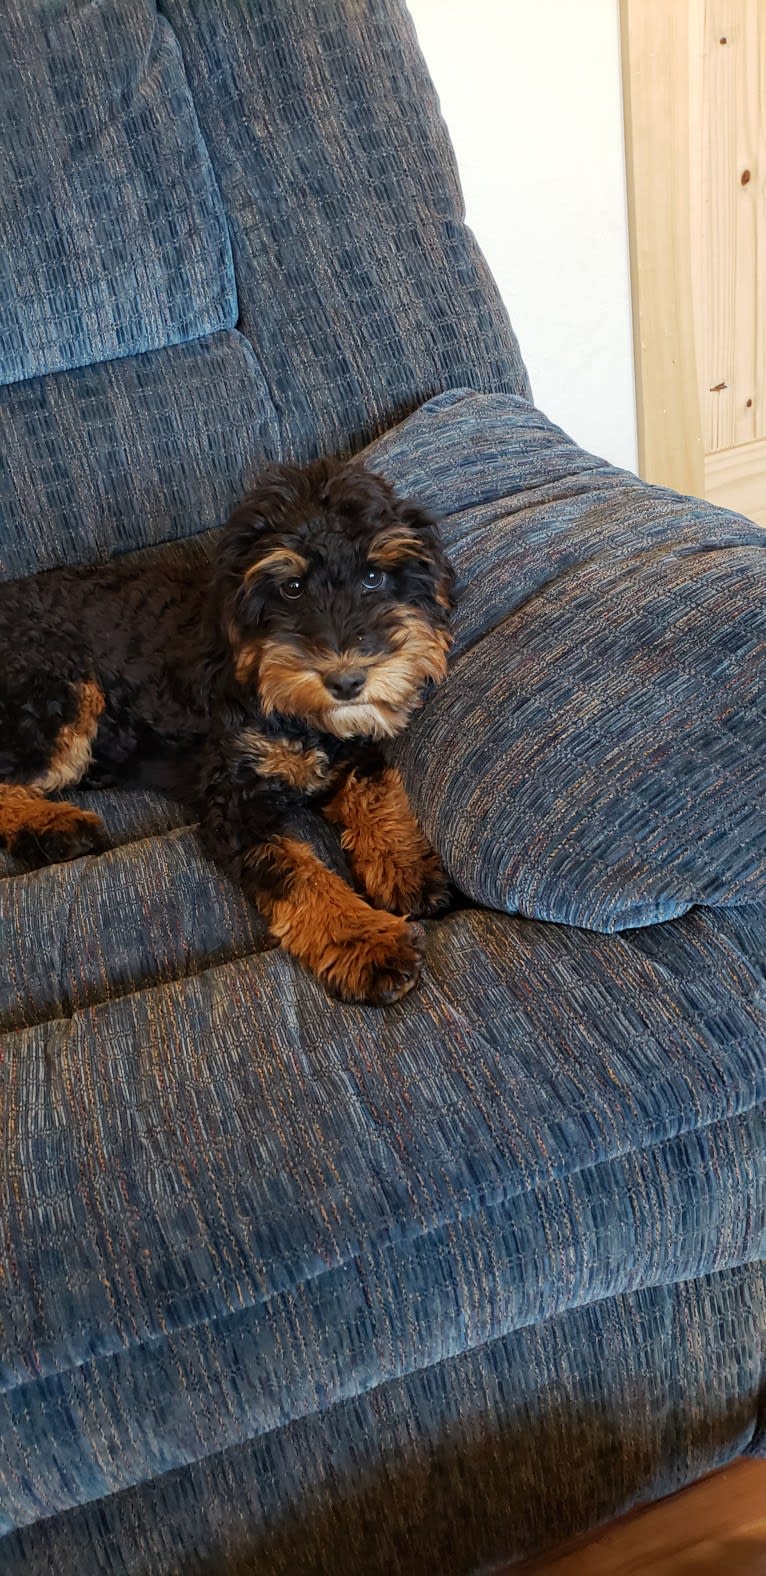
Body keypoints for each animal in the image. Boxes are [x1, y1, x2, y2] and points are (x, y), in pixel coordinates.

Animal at [0, 460, 450, 1002]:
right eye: (291, 587)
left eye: (373, 576)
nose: (346, 681)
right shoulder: (232, 802)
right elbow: (297, 873)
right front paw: (369, 943)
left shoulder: (352, 747)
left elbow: (373, 791)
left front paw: (406, 870)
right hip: (58, 685)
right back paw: (52, 827)